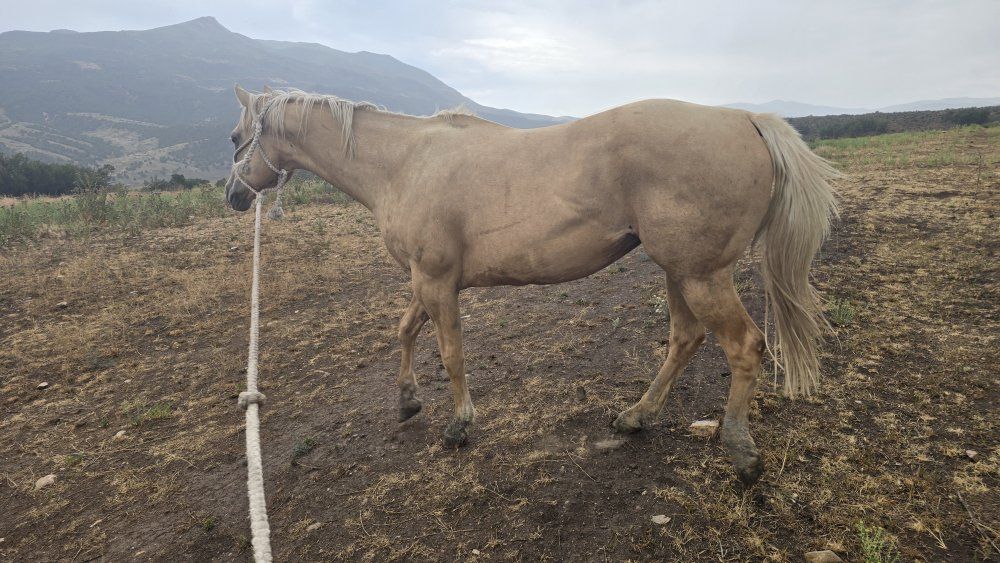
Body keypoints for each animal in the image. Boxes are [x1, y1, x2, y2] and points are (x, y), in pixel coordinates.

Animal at [225, 85, 838, 485]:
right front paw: (407, 399)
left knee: (745, 346)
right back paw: (635, 416)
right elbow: (403, 331)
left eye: (234, 136)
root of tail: (746, 118)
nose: (231, 196)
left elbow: (451, 353)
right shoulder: (427, 282)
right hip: (678, 272)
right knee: (685, 339)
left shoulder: (437, 282)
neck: (405, 164)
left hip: (699, 274)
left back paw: (739, 448)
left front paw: (459, 424)